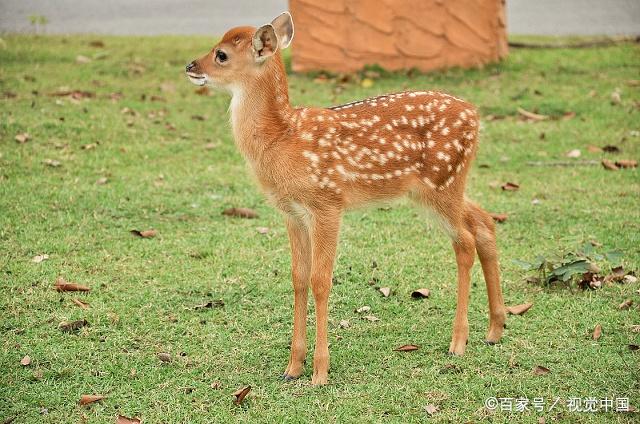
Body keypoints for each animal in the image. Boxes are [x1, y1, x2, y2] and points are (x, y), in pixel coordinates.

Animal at [185, 11, 504, 386]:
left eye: (221, 54)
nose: (191, 65)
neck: (282, 139)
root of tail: (476, 116)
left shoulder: (327, 203)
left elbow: (320, 280)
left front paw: (320, 372)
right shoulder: (292, 213)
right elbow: (298, 278)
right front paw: (292, 368)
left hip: (442, 182)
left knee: (464, 240)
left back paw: (458, 342)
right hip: (443, 186)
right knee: (484, 221)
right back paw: (495, 329)